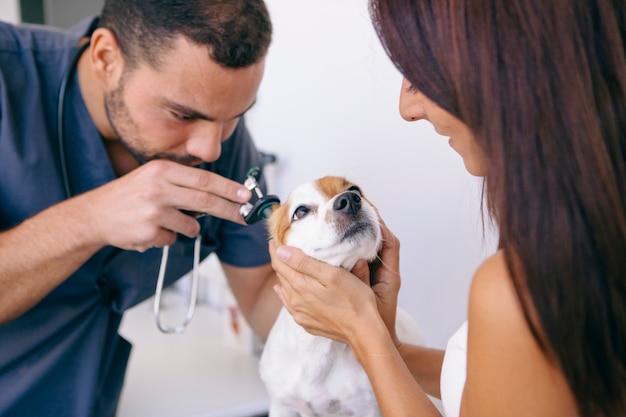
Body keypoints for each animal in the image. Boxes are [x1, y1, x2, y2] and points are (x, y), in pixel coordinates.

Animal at [258, 176, 420, 416]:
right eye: (301, 211)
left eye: (356, 190)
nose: (350, 200)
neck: (319, 346)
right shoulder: (282, 406)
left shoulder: (367, 408)